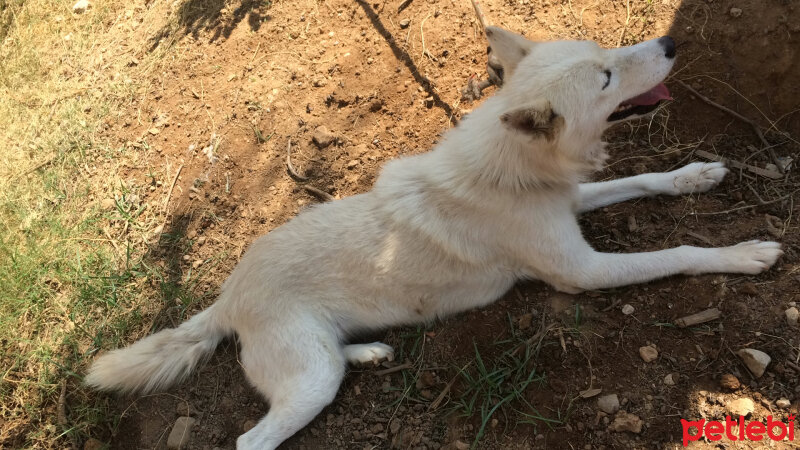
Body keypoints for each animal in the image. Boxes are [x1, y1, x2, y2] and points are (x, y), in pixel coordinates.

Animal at [86, 28, 780, 450]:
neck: (517, 168)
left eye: (608, 52)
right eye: (607, 76)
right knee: (252, 440)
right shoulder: (581, 271)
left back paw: (367, 353)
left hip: (316, 368)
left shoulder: (572, 202)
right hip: (308, 384)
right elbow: (678, 254)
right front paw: (744, 253)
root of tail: (227, 296)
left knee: (334, 362)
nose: (671, 40)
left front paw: (697, 175)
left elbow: (643, 180)